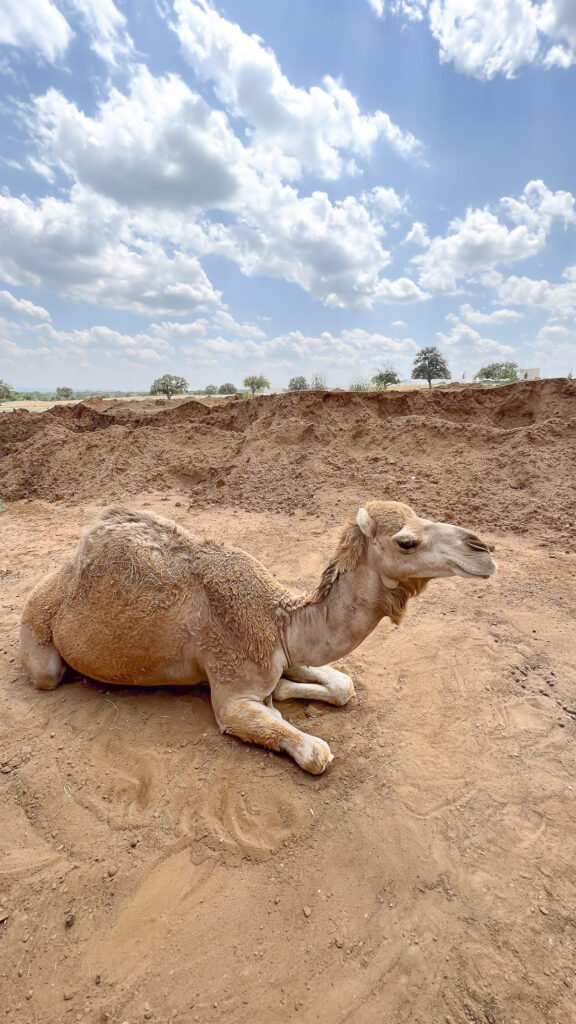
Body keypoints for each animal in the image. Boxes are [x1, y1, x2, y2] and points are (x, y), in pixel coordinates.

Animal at [21, 499, 494, 770]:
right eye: (406, 541)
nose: (484, 551)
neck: (276, 617)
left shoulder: (282, 652)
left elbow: (342, 684)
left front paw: (284, 692)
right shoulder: (232, 692)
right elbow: (315, 753)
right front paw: (282, 712)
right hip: (38, 638)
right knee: (47, 673)